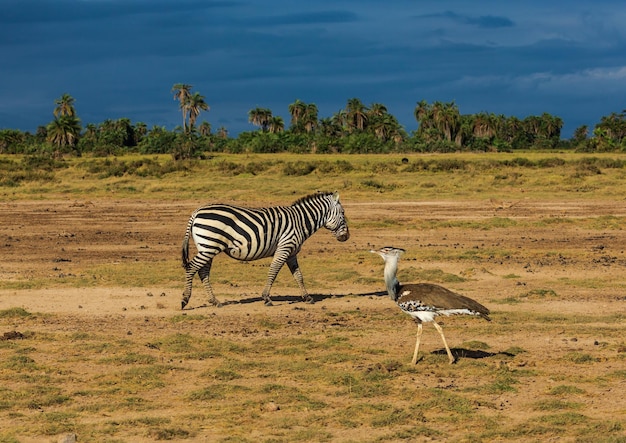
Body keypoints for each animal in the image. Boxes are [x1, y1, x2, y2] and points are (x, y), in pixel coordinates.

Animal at [180, 193, 348, 310]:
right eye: (343, 214)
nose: (346, 236)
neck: (300, 221)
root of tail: (196, 212)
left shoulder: (292, 252)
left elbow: (298, 276)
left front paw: (307, 297)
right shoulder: (284, 248)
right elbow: (273, 271)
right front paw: (266, 298)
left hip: (207, 247)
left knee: (203, 272)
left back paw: (215, 301)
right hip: (209, 246)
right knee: (191, 267)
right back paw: (185, 300)